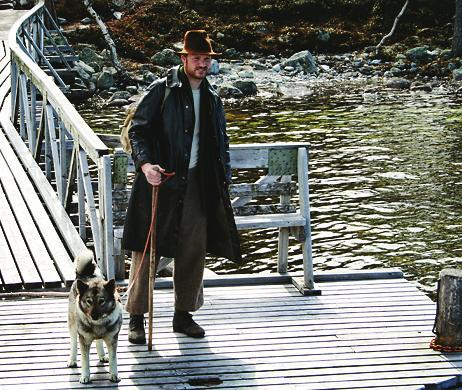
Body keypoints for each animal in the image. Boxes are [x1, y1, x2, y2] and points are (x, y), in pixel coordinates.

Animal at [67, 250, 122, 384]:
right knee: (73, 342)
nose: (94, 315)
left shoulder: (112, 340)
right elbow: (85, 361)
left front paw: (114, 374)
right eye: (89, 301)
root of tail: (84, 275)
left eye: (102, 301)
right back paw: (72, 360)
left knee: (99, 341)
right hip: (73, 326)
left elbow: (113, 359)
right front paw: (85, 376)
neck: (98, 324)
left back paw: (102, 355)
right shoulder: (84, 341)